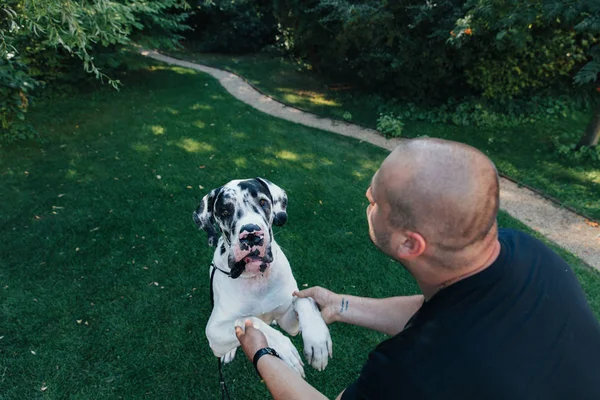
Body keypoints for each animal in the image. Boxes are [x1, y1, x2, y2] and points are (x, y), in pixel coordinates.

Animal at [193, 177, 330, 376]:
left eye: (263, 202)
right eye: (225, 211)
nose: (251, 234)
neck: (256, 278)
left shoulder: (291, 324)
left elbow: (303, 299)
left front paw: (318, 340)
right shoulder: (213, 332)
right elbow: (247, 318)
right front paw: (286, 349)